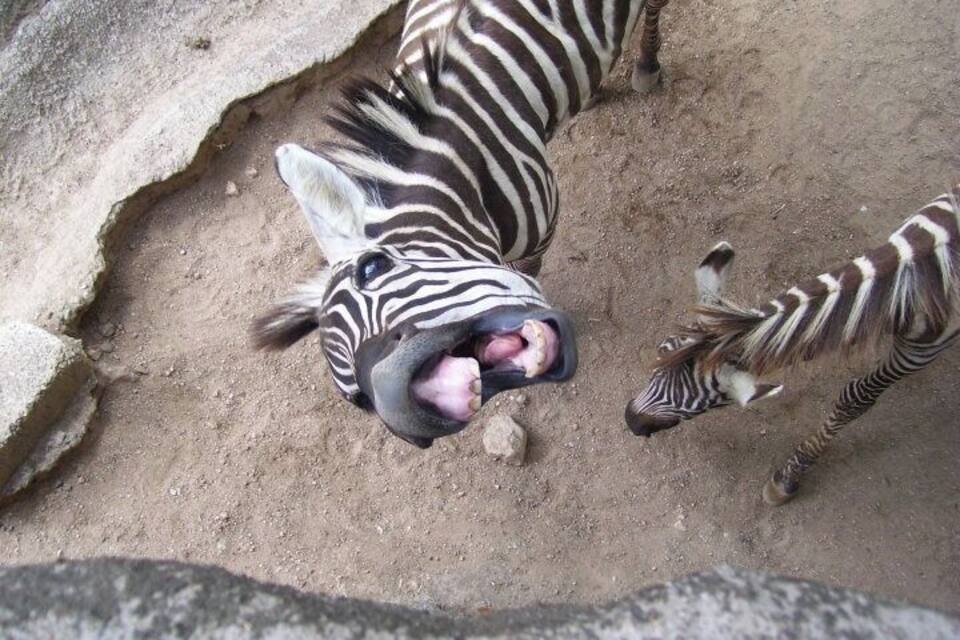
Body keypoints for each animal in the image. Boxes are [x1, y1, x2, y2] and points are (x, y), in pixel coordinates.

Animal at [253, 0, 671, 448]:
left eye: (373, 267)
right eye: (358, 400)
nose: (391, 394)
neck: (462, 159)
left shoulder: (542, 227)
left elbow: (528, 272)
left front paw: (532, 296)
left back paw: (647, 66)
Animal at [625, 185, 960, 504]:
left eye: (711, 402)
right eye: (662, 350)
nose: (631, 420)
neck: (903, 279)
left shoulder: (921, 351)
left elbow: (856, 398)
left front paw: (788, 477)